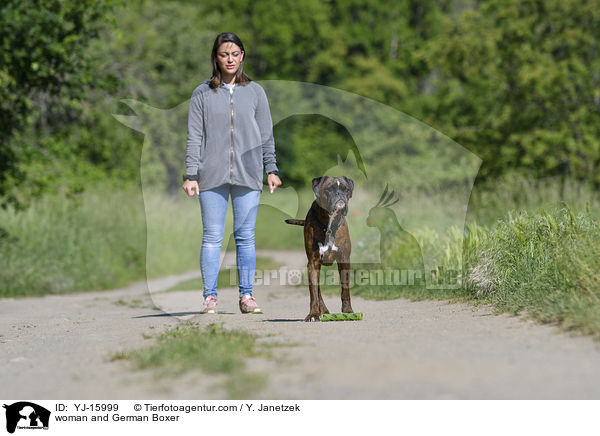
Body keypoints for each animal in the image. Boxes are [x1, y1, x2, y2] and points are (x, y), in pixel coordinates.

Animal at [284, 175, 354, 322]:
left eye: (346, 189)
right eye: (329, 189)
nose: (339, 194)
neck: (329, 223)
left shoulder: (344, 260)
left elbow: (345, 289)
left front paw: (348, 311)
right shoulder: (313, 262)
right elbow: (314, 292)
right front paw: (313, 314)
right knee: (317, 290)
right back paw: (323, 310)